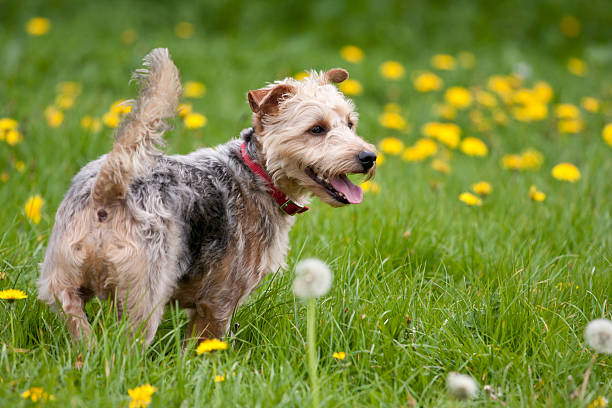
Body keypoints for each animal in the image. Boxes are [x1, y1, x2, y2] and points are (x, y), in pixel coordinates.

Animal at [37, 49, 378, 346]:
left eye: (350, 123)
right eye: (317, 129)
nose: (369, 157)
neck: (257, 174)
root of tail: (109, 187)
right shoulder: (220, 301)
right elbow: (202, 346)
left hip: (61, 284)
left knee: (78, 327)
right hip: (143, 300)